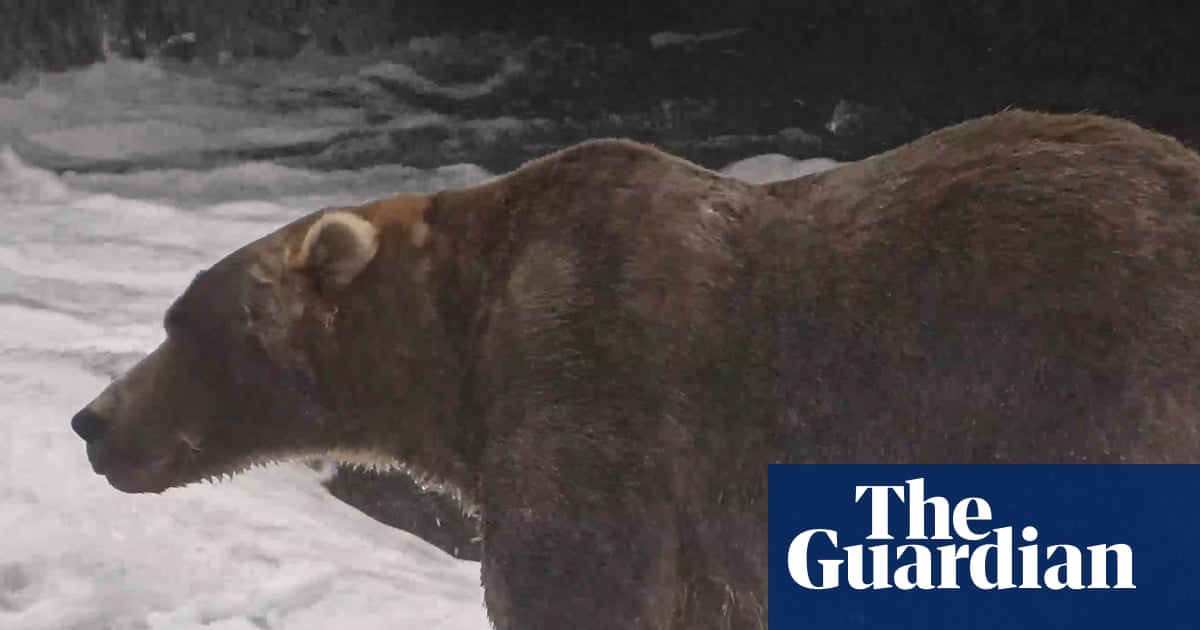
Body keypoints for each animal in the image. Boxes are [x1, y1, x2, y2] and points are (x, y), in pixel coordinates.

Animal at [71, 110, 1200, 630]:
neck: (456, 355)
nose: (92, 421)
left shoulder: (595, 389)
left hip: (1094, 382)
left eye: (186, 324)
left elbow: (577, 583)